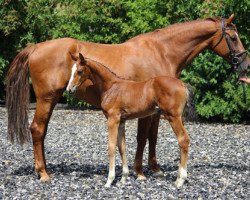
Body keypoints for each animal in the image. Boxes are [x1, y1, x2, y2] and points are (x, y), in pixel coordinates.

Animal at [66, 53, 189, 188]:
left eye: (79, 71)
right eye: (71, 70)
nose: (69, 89)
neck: (111, 87)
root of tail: (183, 85)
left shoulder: (112, 119)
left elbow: (111, 147)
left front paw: (109, 180)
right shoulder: (121, 121)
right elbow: (122, 147)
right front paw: (123, 178)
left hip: (173, 117)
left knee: (183, 140)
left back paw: (180, 180)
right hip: (179, 117)